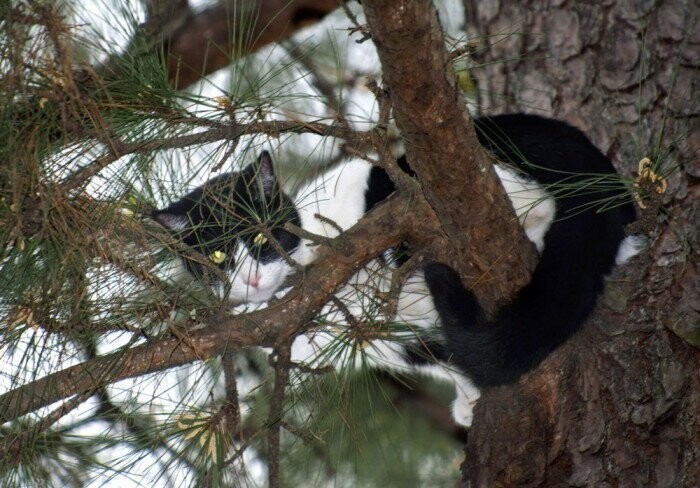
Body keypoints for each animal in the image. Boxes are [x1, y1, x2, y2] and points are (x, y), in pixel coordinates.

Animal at [156, 114, 644, 428]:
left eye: (261, 241)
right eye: (218, 258)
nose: (251, 279)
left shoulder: (360, 183)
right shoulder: (391, 343)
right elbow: (447, 358)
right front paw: (470, 397)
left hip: (446, 173)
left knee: (528, 203)